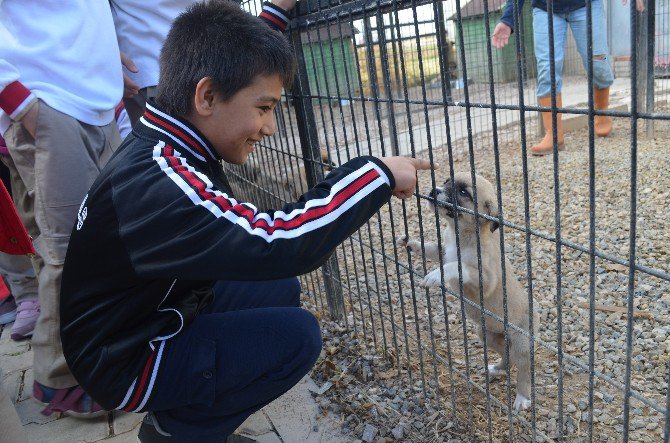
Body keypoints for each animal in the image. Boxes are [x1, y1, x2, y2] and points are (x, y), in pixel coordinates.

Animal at [400, 173, 540, 412]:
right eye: (447, 181)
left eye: (464, 192)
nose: (433, 191)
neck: (461, 235)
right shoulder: (444, 251)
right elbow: (432, 248)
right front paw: (412, 243)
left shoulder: (486, 279)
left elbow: (459, 266)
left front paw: (436, 275)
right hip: (487, 335)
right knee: (507, 355)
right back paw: (498, 368)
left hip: (521, 343)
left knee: (523, 369)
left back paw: (522, 398)